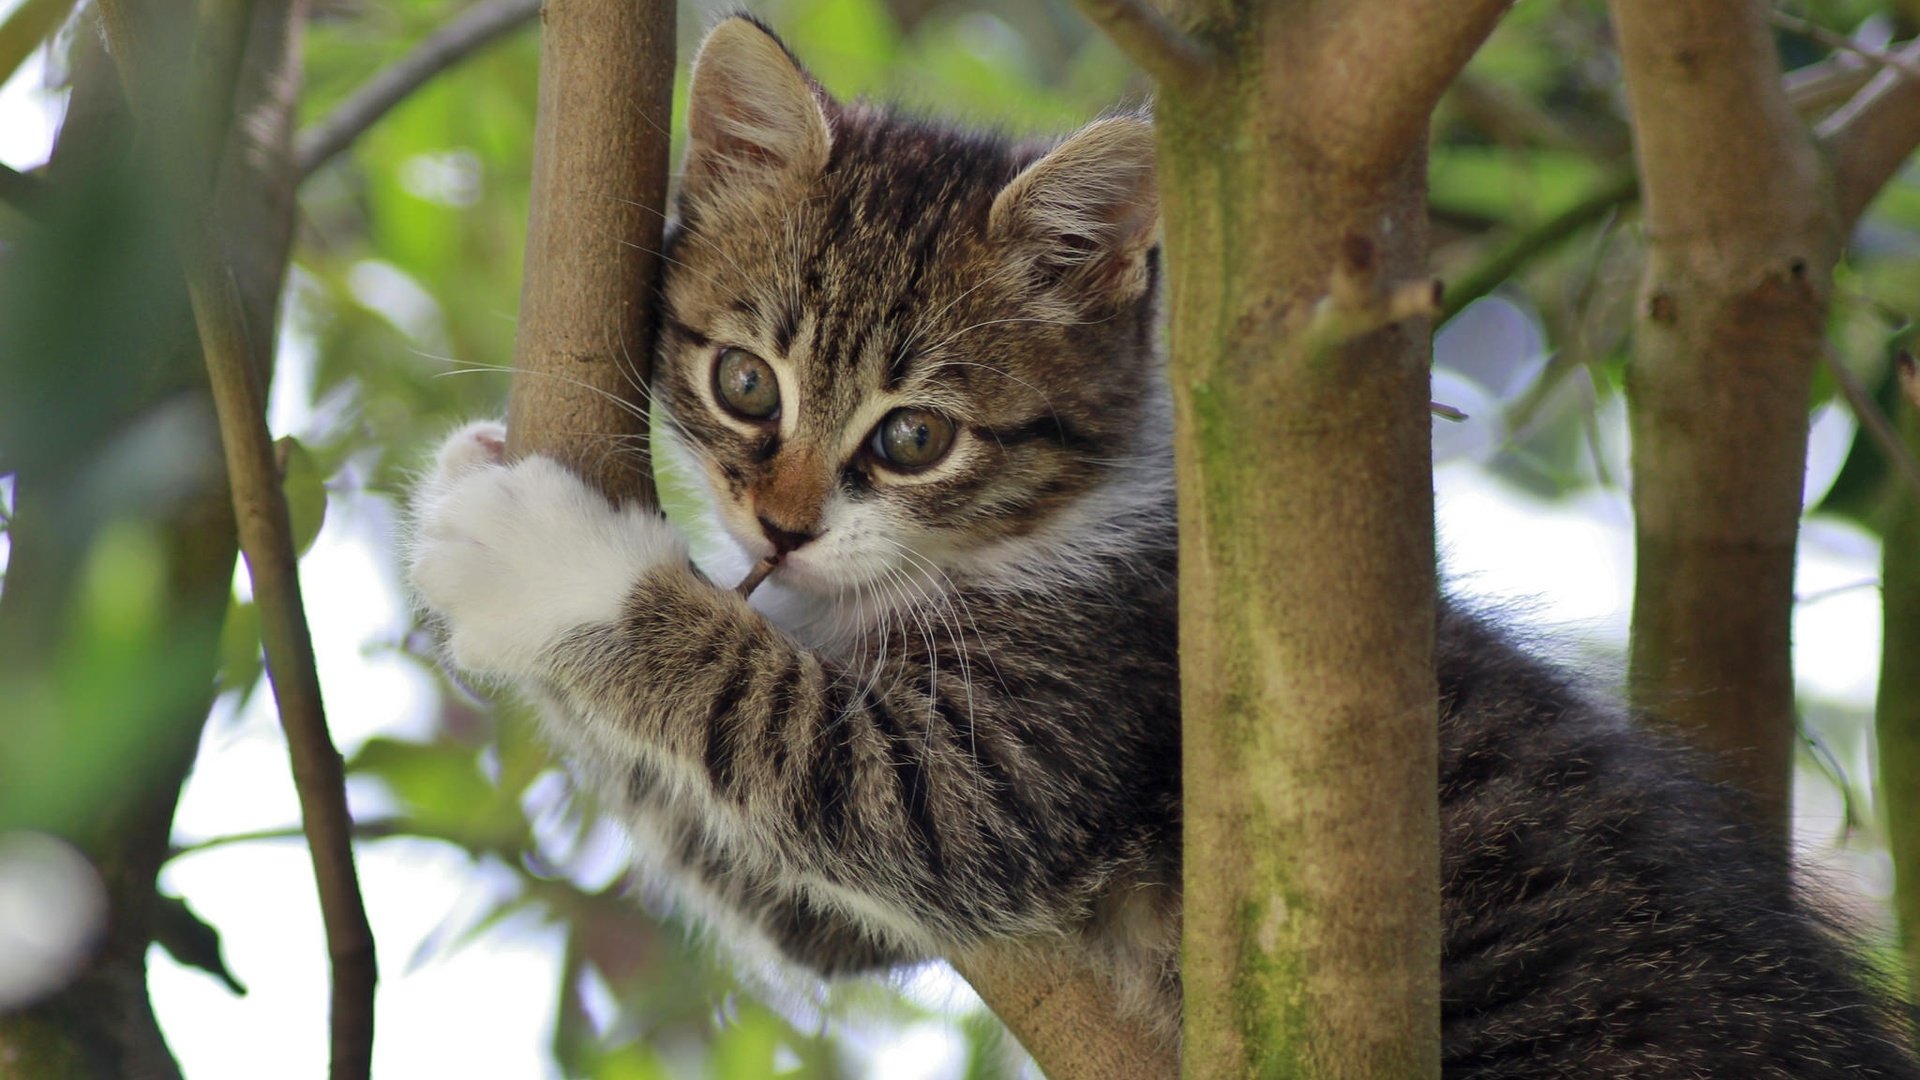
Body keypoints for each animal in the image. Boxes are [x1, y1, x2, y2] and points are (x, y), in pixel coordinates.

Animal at [408, 12, 1920, 1068]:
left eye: (915, 438)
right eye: (744, 383)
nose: (778, 527)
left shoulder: (1041, 745)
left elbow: (788, 729)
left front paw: (541, 554)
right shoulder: (850, 902)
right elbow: (758, 863)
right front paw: (461, 496)